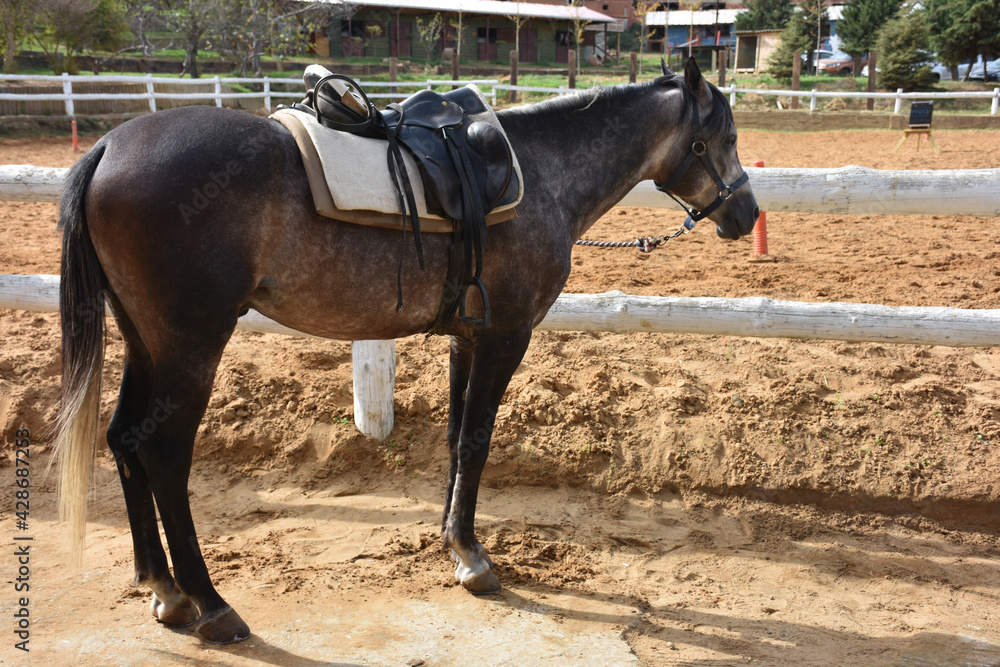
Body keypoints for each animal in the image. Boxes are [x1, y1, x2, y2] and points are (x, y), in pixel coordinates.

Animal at [55, 59, 758, 643]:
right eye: (723, 138)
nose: (747, 215)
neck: (539, 173)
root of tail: (110, 146)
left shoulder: (467, 338)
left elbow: (455, 439)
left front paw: (451, 542)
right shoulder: (506, 338)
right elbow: (476, 441)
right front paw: (473, 559)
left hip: (144, 341)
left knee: (124, 439)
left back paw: (165, 591)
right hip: (191, 344)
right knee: (163, 453)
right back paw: (211, 604)